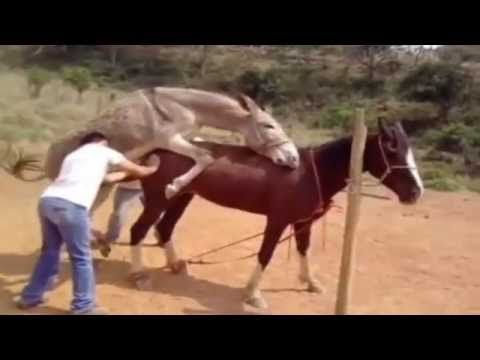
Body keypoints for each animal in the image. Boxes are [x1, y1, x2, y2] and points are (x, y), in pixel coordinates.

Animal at [122, 119, 422, 308]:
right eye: (391, 150)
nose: (416, 193)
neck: (310, 173)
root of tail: (159, 146)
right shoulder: (277, 221)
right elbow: (265, 255)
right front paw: (253, 294)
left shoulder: (303, 222)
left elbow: (303, 250)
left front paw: (310, 283)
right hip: (158, 200)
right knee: (139, 230)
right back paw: (139, 276)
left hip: (182, 197)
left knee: (165, 229)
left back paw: (175, 265)